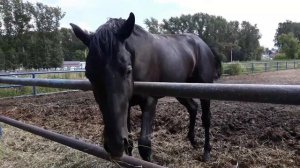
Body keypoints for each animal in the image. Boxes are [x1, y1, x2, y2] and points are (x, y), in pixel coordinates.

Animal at [69, 12, 220, 162]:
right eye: (88, 74)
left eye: (128, 70)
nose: (114, 145)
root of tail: (202, 44)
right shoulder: (127, 106)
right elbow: (129, 144)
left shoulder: (149, 101)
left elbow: (144, 145)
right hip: (181, 89)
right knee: (193, 108)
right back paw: (192, 141)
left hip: (205, 89)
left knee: (206, 118)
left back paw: (206, 152)